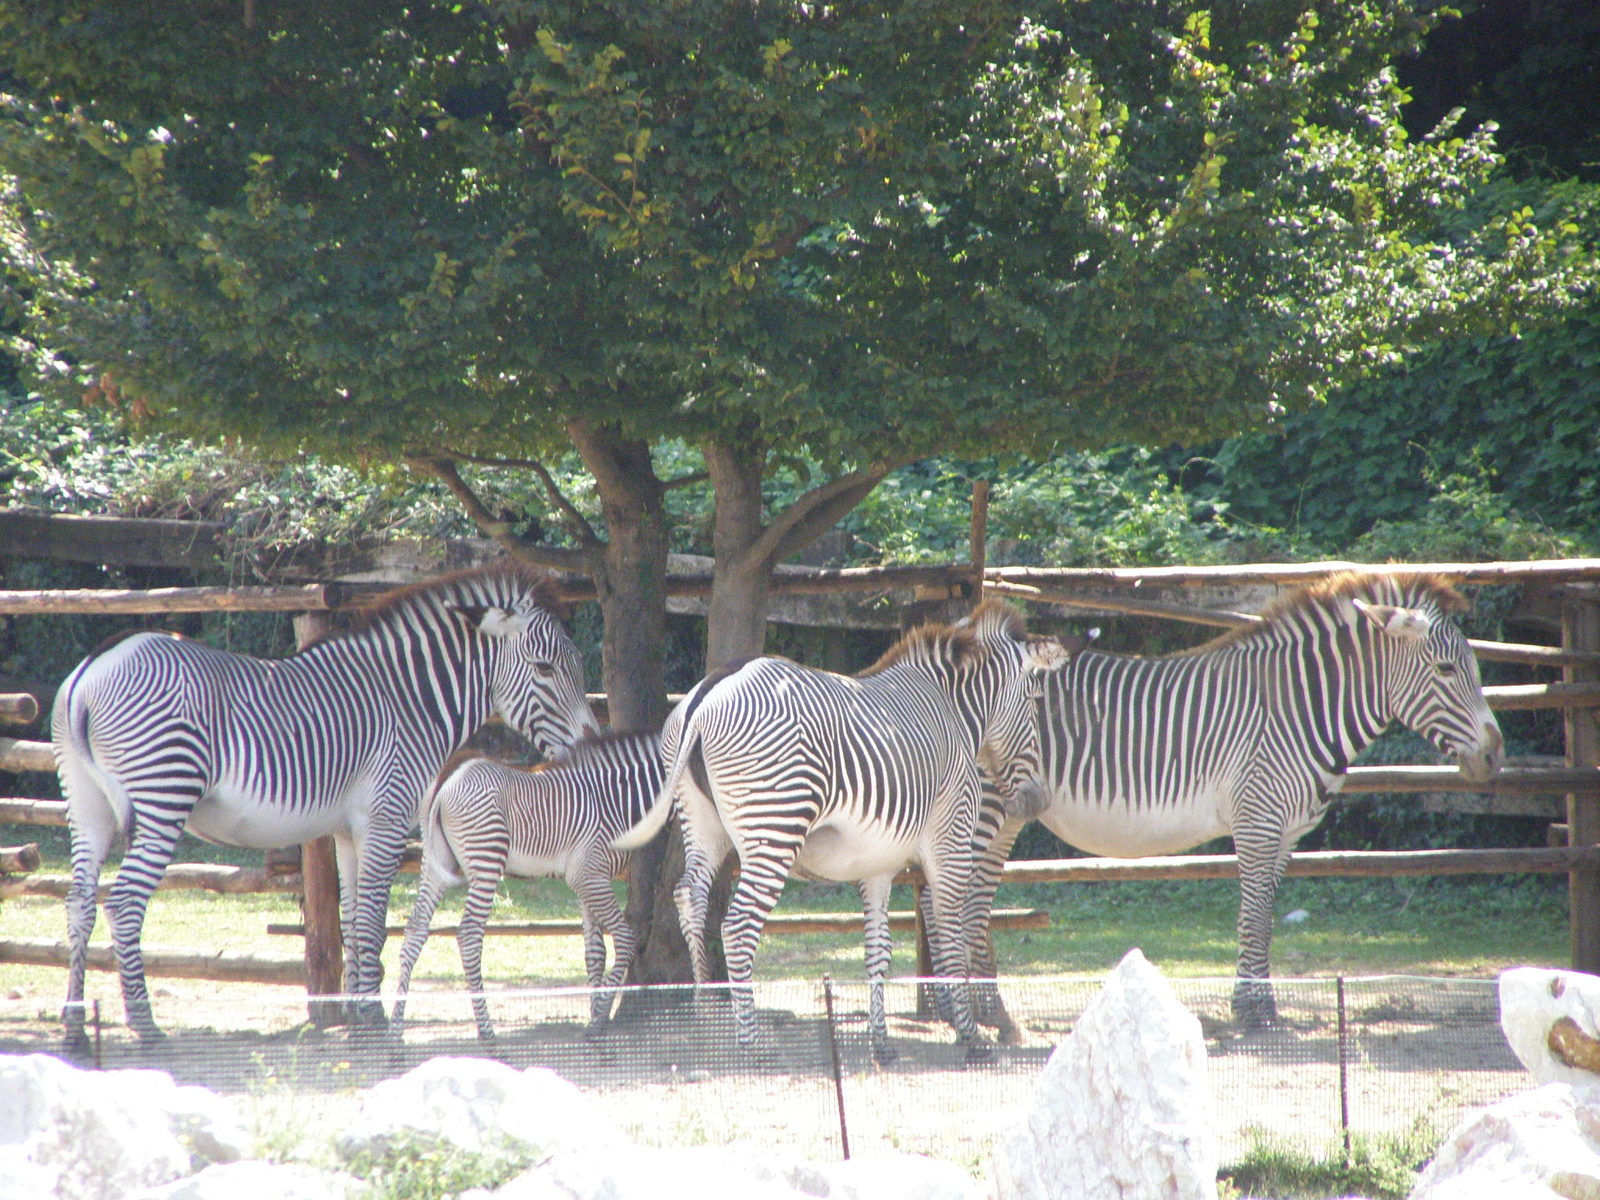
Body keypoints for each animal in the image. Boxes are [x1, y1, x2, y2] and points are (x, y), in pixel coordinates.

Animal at [54, 560, 601, 1049]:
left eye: (575, 668)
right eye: (546, 668)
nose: (590, 746)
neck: (408, 701)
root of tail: (93, 666)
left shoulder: (349, 829)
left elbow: (355, 922)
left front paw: (360, 1021)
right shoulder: (387, 817)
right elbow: (374, 923)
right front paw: (374, 1024)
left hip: (86, 804)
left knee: (79, 902)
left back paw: (75, 1029)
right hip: (164, 793)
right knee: (124, 904)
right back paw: (147, 1030)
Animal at [390, 729, 665, 1049]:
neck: (616, 798)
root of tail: (452, 773)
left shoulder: (590, 879)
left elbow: (594, 951)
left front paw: (595, 1017)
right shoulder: (589, 874)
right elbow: (624, 939)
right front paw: (598, 1022)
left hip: (435, 862)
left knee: (415, 929)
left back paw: (396, 1031)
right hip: (487, 858)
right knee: (469, 934)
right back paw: (487, 1033)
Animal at [617, 604, 1081, 1068]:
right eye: (1034, 700)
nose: (1037, 801)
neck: (952, 712)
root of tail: (708, 693)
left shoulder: (877, 864)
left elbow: (879, 950)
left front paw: (882, 1043)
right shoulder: (950, 838)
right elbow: (952, 935)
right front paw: (971, 1036)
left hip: (701, 824)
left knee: (689, 898)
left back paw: (707, 1018)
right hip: (775, 828)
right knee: (737, 926)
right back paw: (755, 1043)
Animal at [966, 569, 1504, 1024]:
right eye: (1446, 668)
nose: (1495, 755)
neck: (1299, 708)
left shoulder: (1286, 834)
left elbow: (1264, 918)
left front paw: (1260, 1007)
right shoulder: (1258, 820)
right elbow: (1254, 915)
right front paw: (1253, 1013)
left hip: (1006, 811)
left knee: (975, 894)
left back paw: (991, 1012)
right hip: (986, 803)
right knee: (964, 897)